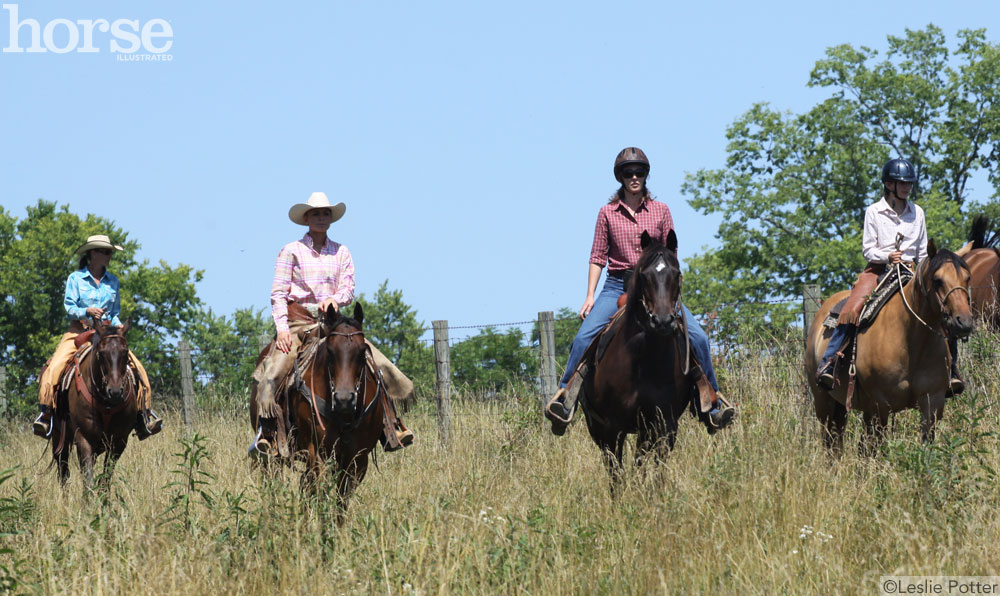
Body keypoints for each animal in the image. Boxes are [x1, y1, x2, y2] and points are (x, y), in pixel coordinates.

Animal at [53, 322, 140, 494]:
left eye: (125, 352)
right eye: (101, 353)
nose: (115, 392)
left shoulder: (119, 441)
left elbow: (105, 478)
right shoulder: (84, 438)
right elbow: (88, 479)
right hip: (59, 439)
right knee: (63, 473)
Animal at [250, 304, 386, 520]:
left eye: (362, 351)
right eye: (330, 350)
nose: (344, 399)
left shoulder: (358, 459)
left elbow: (341, 502)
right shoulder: (317, 452)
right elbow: (321, 494)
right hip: (272, 455)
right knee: (273, 483)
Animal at [580, 229, 696, 494]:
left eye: (677, 273)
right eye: (644, 275)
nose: (662, 321)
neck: (646, 360)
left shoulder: (665, 425)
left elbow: (654, 468)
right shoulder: (613, 426)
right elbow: (617, 472)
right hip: (598, 429)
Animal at [804, 241, 976, 456]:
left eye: (967, 278)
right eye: (937, 280)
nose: (964, 322)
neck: (912, 342)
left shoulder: (932, 403)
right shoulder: (880, 405)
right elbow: (876, 450)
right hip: (823, 401)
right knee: (831, 442)